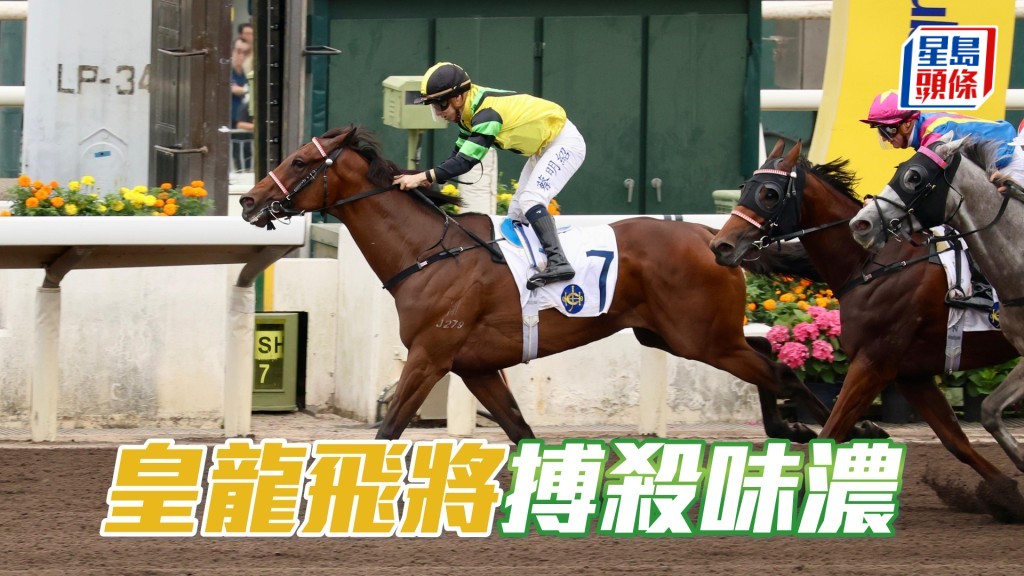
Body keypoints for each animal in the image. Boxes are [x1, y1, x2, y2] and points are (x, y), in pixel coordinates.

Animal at [239, 124, 867, 446]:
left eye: (300, 162)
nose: (248, 201)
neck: (429, 254)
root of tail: (715, 237)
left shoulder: (430, 355)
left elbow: (389, 430)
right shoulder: (475, 366)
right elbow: (521, 431)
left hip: (702, 338)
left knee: (780, 369)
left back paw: (843, 426)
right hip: (674, 335)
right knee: (768, 352)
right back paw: (802, 424)